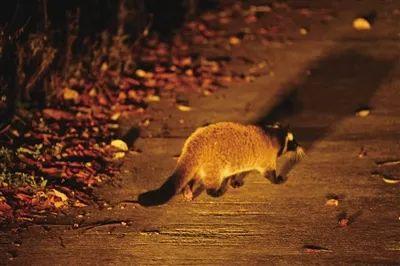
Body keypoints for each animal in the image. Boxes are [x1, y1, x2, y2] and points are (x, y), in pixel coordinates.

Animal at [138, 121, 304, 207]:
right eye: (293, 142)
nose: (300, 146)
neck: (271, 134)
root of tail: (192, 145)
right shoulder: (267, 158)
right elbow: (269, 173)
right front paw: (277, 179)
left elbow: (237, 172)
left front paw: (235, 180)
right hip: (213, 164)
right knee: (210, 180)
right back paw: (212, 191)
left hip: (201, 163)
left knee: (193, 176)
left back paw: (188, 188)